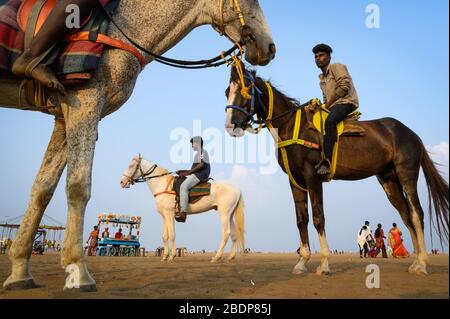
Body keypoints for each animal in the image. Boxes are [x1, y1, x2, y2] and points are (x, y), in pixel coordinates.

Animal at [118, 154, 246, 262]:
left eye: (131, 165)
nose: (122, 182)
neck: (162, 185)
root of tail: (237, 189)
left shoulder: (169, 214)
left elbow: (172, 235)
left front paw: (172, 257)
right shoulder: (164, 216)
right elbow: (165, 236)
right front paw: (164, 257)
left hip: (224, 213)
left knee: (226, 233)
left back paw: (216, 257)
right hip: (230, 214)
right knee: (234, 234)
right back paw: (230, 257)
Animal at [223, 63, 448, 278]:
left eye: (245, 91)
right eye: (227, 91)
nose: (230, 125)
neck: (292, 125)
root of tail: (412, 134)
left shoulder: (313, 176)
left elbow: (318, 218)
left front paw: (324, 264)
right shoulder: (295, 181)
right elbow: (301, 219)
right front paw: (302, 262)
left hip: (406, 175)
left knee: (417, 213)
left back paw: (423, 263)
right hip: (389, 181)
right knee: (406, 216)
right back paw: (416, 261)